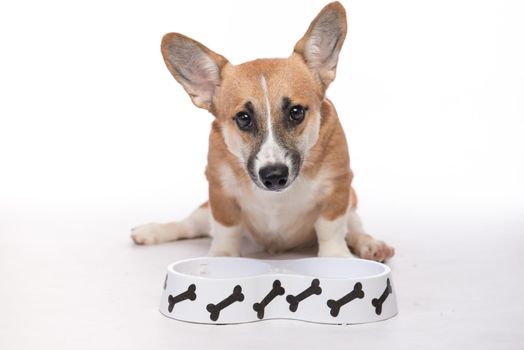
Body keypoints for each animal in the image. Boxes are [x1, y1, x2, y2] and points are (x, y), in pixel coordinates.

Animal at [130, 1, 392, 262]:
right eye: (243, 118)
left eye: (296, 112)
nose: (274, 176)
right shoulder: (220, 191)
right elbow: (225, 229)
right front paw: (222, 256)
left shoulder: (337, 188)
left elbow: (331, 229)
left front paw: (336, 257)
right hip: (203, 212)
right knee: (189, 225)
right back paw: (151, 231)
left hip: (353, 205)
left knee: (355, 228)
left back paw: (371, 245)